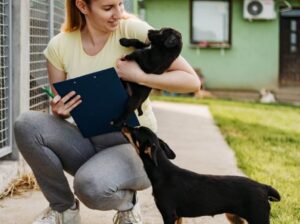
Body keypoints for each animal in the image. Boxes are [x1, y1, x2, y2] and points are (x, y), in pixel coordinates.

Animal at [122, 126, 282, 224]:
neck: (162, 173)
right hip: (235, 217)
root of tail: (264, 187)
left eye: (135, 131)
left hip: (258, 217)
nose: (123, 124)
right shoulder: (178, 216)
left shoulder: (169, 214)